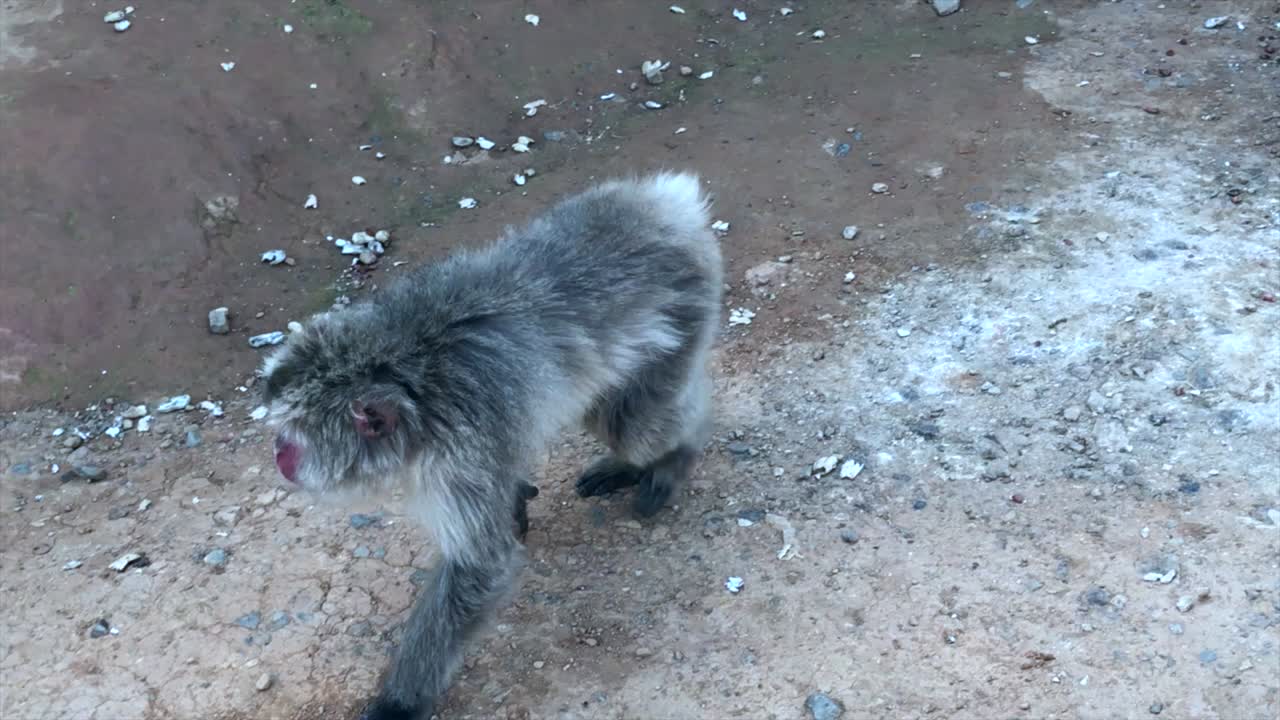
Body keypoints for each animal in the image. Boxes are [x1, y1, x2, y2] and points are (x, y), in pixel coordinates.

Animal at [257, 171, 723, 720]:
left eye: (292, 437)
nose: (278, 455)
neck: (411, 380)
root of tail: (665, 202)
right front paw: (516, 498)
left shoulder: (459, 452)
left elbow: (479, 567)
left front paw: (401, 699)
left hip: (686, 300)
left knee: (638, 424)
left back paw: (674, 458)